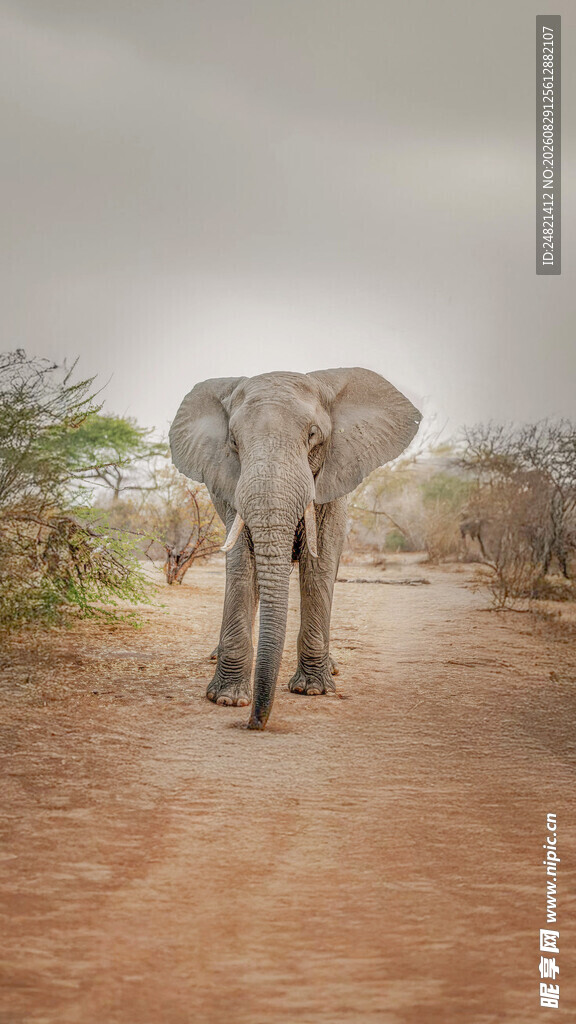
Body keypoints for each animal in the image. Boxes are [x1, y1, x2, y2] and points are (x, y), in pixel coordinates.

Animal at [169, 368, 421, 730]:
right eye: (234, 442)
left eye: (313, 435)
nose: (254, 723)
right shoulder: (231, 490)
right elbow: (242, 566)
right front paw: (227, 699)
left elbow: (319, 568)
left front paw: (312, 690)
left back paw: (330, 668)